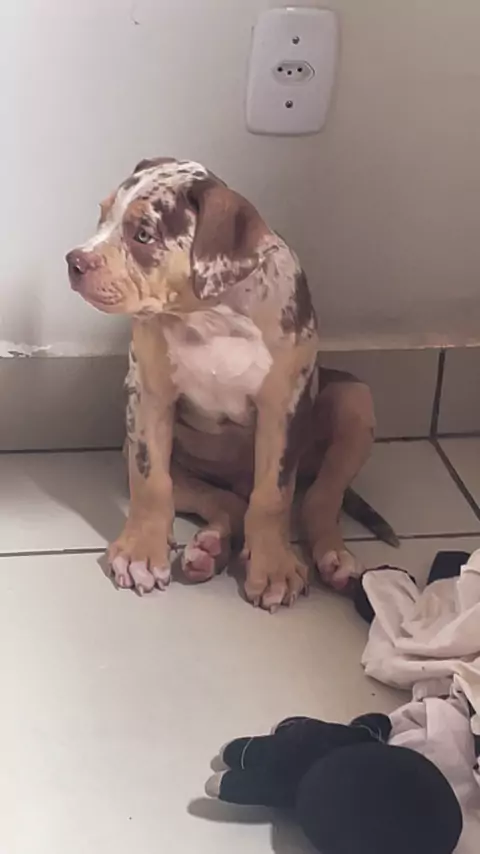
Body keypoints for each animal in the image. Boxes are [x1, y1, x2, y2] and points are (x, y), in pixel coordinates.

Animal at [66, 157, 397, 612]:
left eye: (143, 234)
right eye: (103, 215)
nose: (74, 261)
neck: (209, 316)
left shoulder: (283, 408)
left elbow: (273, 495)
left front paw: (273, 568)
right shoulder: (148, 395)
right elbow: (150, 481)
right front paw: (140, 554)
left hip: (355, 400)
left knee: (316, 499)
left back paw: (335, 560)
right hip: (162, 461)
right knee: (227, 504)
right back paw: (209, 549)